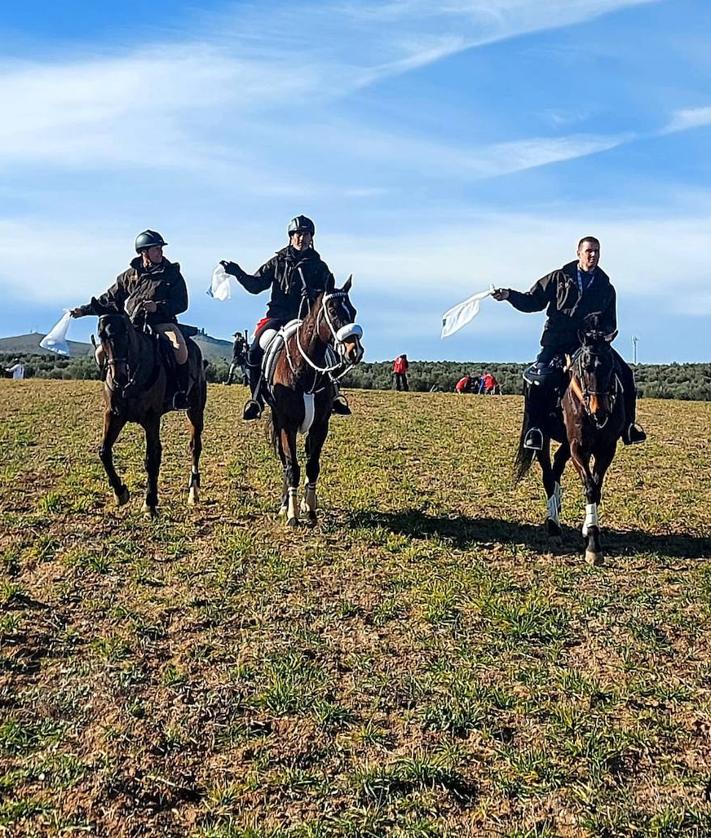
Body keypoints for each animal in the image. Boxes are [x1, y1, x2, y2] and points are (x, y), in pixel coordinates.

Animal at [94, 310, 206, 516]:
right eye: (101, 336)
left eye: (125, 332)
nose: (119, 376)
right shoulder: (114, 415)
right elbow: (104, 452)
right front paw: (120, 492)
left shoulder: (151, 419)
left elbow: (151, 458)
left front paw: (150, 503)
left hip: (195, 411)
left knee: (195, 447)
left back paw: (193, 492)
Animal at [268, 274, 368, 524]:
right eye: (332, 310)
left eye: (353, 310)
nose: (355, 350)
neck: (304, 369)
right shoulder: (287, 425)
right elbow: (292, 467)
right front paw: (291, 513)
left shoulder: (321, 425)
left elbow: (312, 465)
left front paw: (310, 508)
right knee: (286, 462)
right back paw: (285, 504)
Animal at [516, 318, 624, 568]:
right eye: (585, 366)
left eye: (611, 365)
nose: (599, 411)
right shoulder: (578, 448)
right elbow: (590, 487)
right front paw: (593, 545)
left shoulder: (606, 450)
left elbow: (596, 488)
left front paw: (587, 531)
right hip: (544, 438)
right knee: (548, 476)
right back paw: (553, 526)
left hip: (565, 444)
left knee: (556, 469)